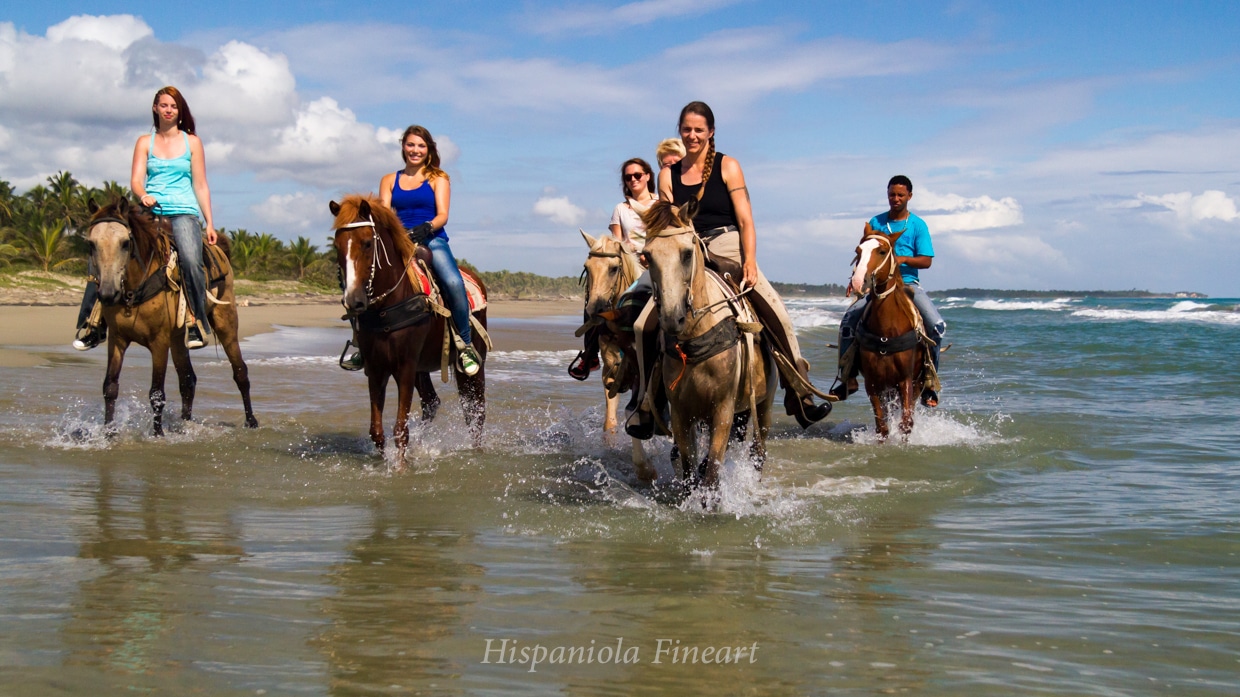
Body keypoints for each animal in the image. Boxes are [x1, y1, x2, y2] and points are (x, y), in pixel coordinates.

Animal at [85, 198, 257, 435]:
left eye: (125, 243)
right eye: (92, 244)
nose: (108, 293)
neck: (134, 291)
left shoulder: (159, 342)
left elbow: (157, 393)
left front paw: (157, 435)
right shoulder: (117, 339)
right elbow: (110, 386)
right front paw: (109, 433)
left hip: (226, 323)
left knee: (240, 372)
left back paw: (251, 422)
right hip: (178, 340)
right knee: (188, 380)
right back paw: (184, 425)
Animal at [330, 194, 487, 465]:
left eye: (367, 243)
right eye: (337, 247)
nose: (354, 300)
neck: (386, 307)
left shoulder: (405, 365)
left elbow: (400, 428)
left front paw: (401, 468)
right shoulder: (376, 368)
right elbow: (377, 430)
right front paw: (384, 463)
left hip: (472, 367)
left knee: (475, 411)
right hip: (421, 369)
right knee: (432, 403)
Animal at [578, 230, 656, 484]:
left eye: (613, 269)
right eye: (587, 267)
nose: (594, 310)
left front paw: (647, 469)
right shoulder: (612, 373)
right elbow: (610, 423)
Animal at [641, 201, 776, 493]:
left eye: (687, 253)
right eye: (647, 255)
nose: (672, 318)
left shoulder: (722, 411)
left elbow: (711, 475)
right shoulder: (682, 414)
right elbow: (689, 469)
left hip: (764, 403)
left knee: (758, 452)